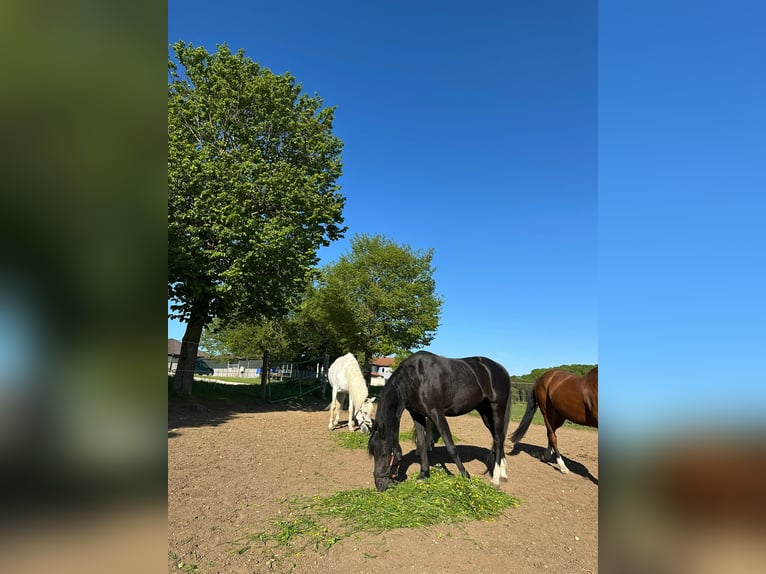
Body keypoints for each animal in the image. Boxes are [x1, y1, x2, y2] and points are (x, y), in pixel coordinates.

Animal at [367, 350, 512, 492]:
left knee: (498, 439)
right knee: (498, 438)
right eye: (373, 453)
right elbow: (421, 444)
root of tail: (502, 369)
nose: (379, 485)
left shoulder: (436, 413)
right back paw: (503, 473)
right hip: (485, 413)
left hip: (497, 408)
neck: (415, 378)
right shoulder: (417, 415)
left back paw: (496, 479)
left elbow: (451, 447)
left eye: (384, 453)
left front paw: (466, 477)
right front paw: (423, 474)